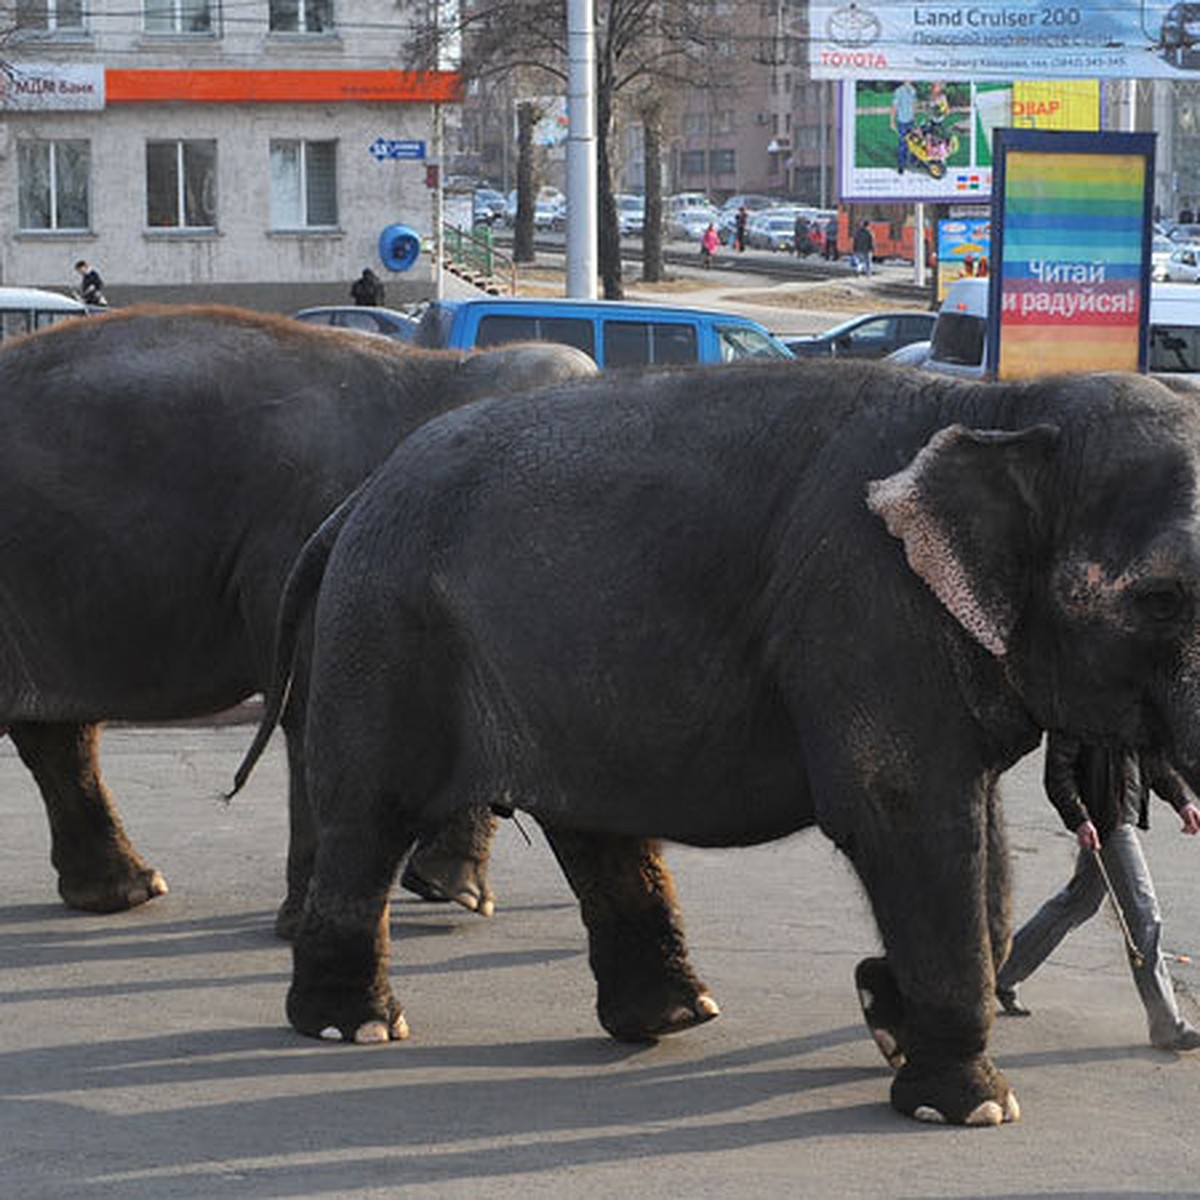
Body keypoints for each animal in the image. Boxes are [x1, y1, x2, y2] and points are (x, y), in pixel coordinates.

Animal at [0, 302, 597, 936]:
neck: (449, 375)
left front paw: (446, 890)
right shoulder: (312, 539)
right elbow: (320, 703)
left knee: (55, 732)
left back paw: (128, 891)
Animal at [231, 360, 1200, 1128]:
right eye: (1162, 599)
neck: (1003, 400)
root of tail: (358, 498)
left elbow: (978, 833)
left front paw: (883, 1007)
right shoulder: (865, 609)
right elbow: (904, 817)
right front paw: (968, 1106)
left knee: (597, 830)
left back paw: (673, 1017)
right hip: (386, 636)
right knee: (371, 819)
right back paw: (354, 1026)